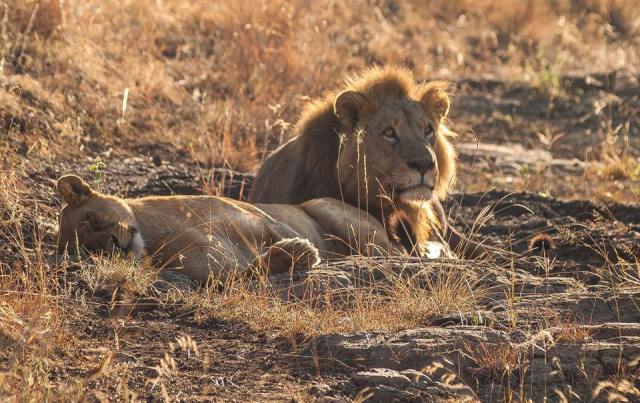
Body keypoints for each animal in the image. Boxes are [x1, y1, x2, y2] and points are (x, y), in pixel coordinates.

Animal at [56, 175, 394, 283]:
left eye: (91, 220)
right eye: (89, 251)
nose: (115, 245)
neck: (153, 233)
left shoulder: (261, 218)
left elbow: (277, 233)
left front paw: (299, 249)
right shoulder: (203, 266)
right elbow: (244, 273)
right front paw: (293, 255)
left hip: (326, 208)